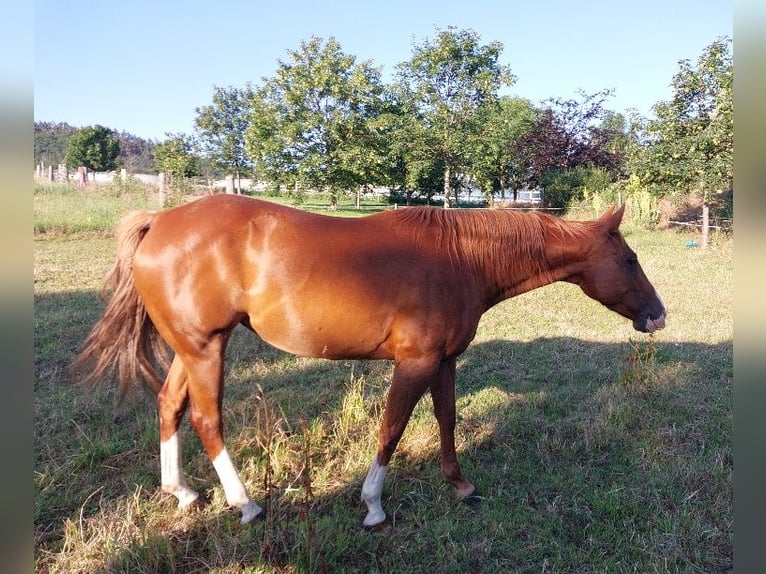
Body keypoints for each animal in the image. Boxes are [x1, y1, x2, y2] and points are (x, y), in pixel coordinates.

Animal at [73, 194, 666, 527]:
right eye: (630, 259)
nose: (657, 315)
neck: (460, 258)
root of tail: (160, 220)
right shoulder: (415, 363)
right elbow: (391, 429)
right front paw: (374, 506)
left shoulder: (443, 361)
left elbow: (446, 420)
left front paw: (460, 485)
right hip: (206, 349)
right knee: (206, 418)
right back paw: (244, 504)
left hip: (191, 348)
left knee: (169, 406)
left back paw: (182, 492)